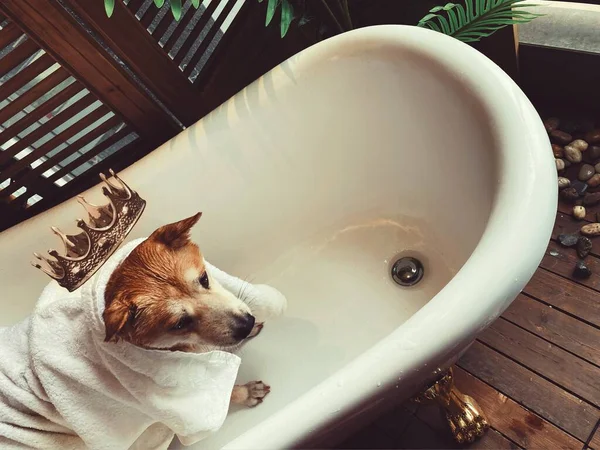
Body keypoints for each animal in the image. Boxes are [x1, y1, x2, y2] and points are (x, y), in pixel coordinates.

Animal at [0, 237, 288, 448]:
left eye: (204, 278)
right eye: (179, 324)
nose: (246, 324)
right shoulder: (178, 404)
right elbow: (221, 393)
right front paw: (245, 392)